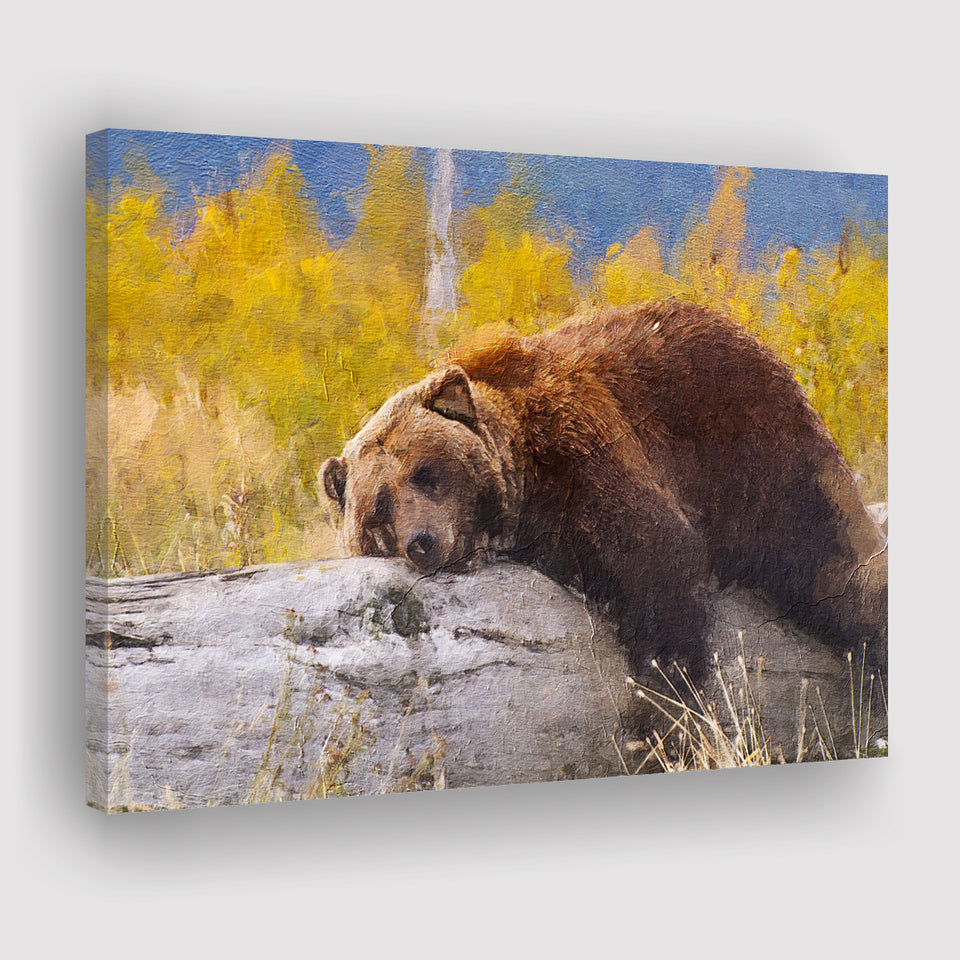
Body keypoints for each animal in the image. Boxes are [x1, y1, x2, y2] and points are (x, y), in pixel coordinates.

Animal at [321, 302, 887, 689]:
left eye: (427, 473)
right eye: (378, 508)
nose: (422, 541)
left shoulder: (583, 447)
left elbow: (656, 557)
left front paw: (665, 702)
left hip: (759, 456)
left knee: (835, 568)